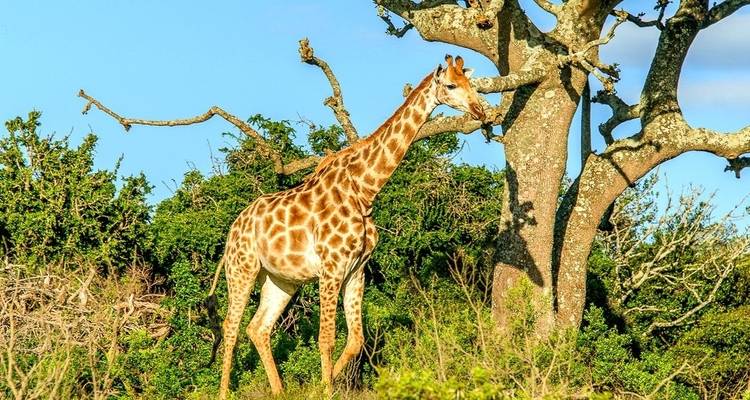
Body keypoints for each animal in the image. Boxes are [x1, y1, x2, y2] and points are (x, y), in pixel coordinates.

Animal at [207, 54, 485, 399]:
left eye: (470, 83)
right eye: (450, 85)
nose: (480, 111)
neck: (365, 190)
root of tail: (233, 230)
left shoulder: (357, 269)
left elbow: (356, 340)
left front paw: (325, 383)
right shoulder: (331, 267)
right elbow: (326, 338)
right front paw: (325, 389)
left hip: (280, 279)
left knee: (258, 328)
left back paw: (280, 391)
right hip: (242, 269)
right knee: (231, 328)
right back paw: (224, 392)